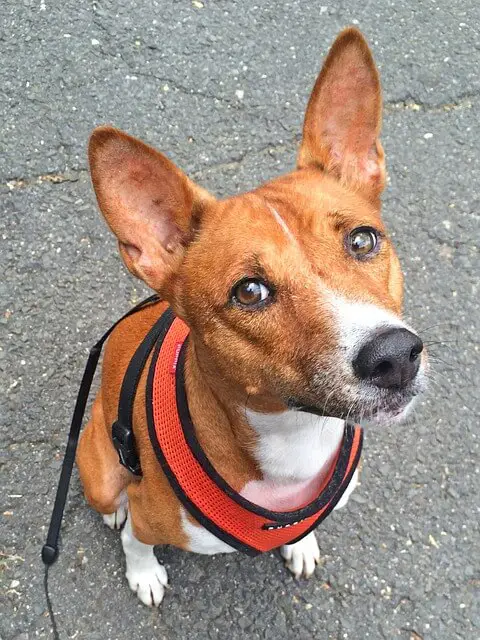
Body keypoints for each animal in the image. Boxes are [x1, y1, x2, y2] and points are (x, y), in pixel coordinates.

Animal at [77, 28, 430, 604]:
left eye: (362, 240)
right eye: (249, 292)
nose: (396, 356)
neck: (296, 439)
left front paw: (301, 543)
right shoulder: (150, 519)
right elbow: (136, 542)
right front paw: (144, 574)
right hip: (100, 472)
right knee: (114, 505)